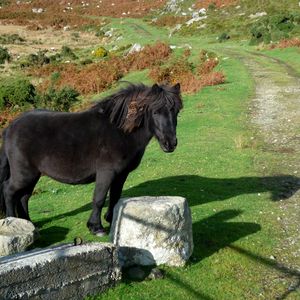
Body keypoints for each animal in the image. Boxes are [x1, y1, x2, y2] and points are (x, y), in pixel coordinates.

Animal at [0, 83, 183, 236]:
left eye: (176, 111)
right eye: (155, 112)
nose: (170, 144)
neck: (120, 131)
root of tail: (11, 127)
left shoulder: (121, 174)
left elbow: (115, 196)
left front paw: (112, 219)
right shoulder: (106, 172)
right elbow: (99, 198)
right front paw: (96, 227)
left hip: (33, 175)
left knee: (23, 197)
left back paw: (29, 224)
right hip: (24, 174)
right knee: (9, 191)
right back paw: (13, 221)